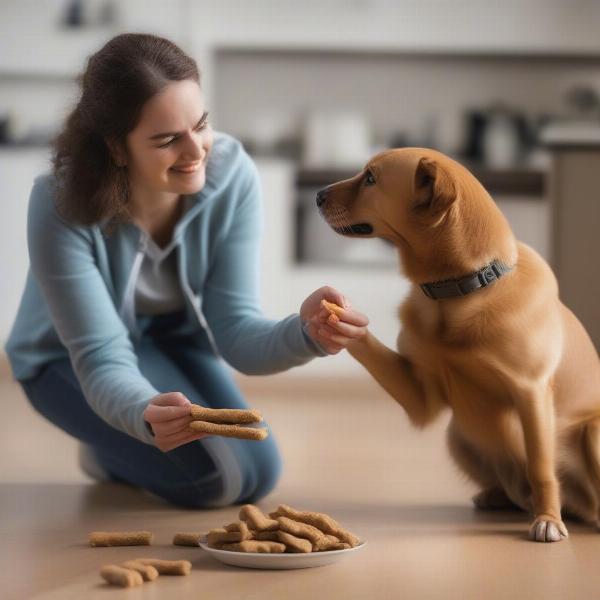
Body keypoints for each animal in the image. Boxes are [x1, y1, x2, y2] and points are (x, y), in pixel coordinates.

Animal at [316, 148, 600, 540]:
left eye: (371, 178)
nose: (316, 195)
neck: (460, 292)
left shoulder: (532, 391)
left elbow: (541, 467)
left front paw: (548, 520)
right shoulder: (422, 398)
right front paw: (335, 321)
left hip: (593, 433)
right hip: (458, 435)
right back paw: (497, 496)